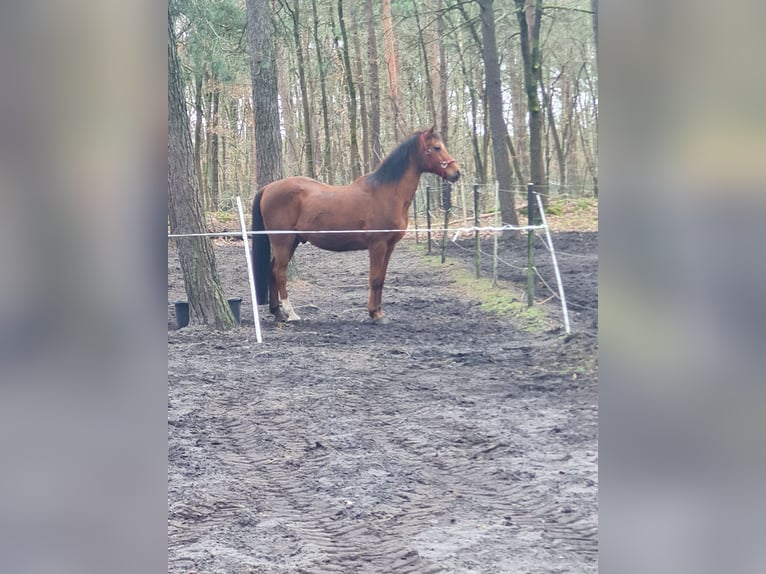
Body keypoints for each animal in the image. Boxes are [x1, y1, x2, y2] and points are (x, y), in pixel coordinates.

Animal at [250, 127, 462, 324]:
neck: (386, 193)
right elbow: (374, 278)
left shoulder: (390, 246)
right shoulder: (377, 245)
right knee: (280, 273)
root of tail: (268, 188)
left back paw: (277, 313)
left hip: (292, 241)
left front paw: (379, 312)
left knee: (272, 271)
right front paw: (374, 314)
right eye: (437, 147)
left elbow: (381, 279)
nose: (456, 173)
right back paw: (291, 314)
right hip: (283, 241)